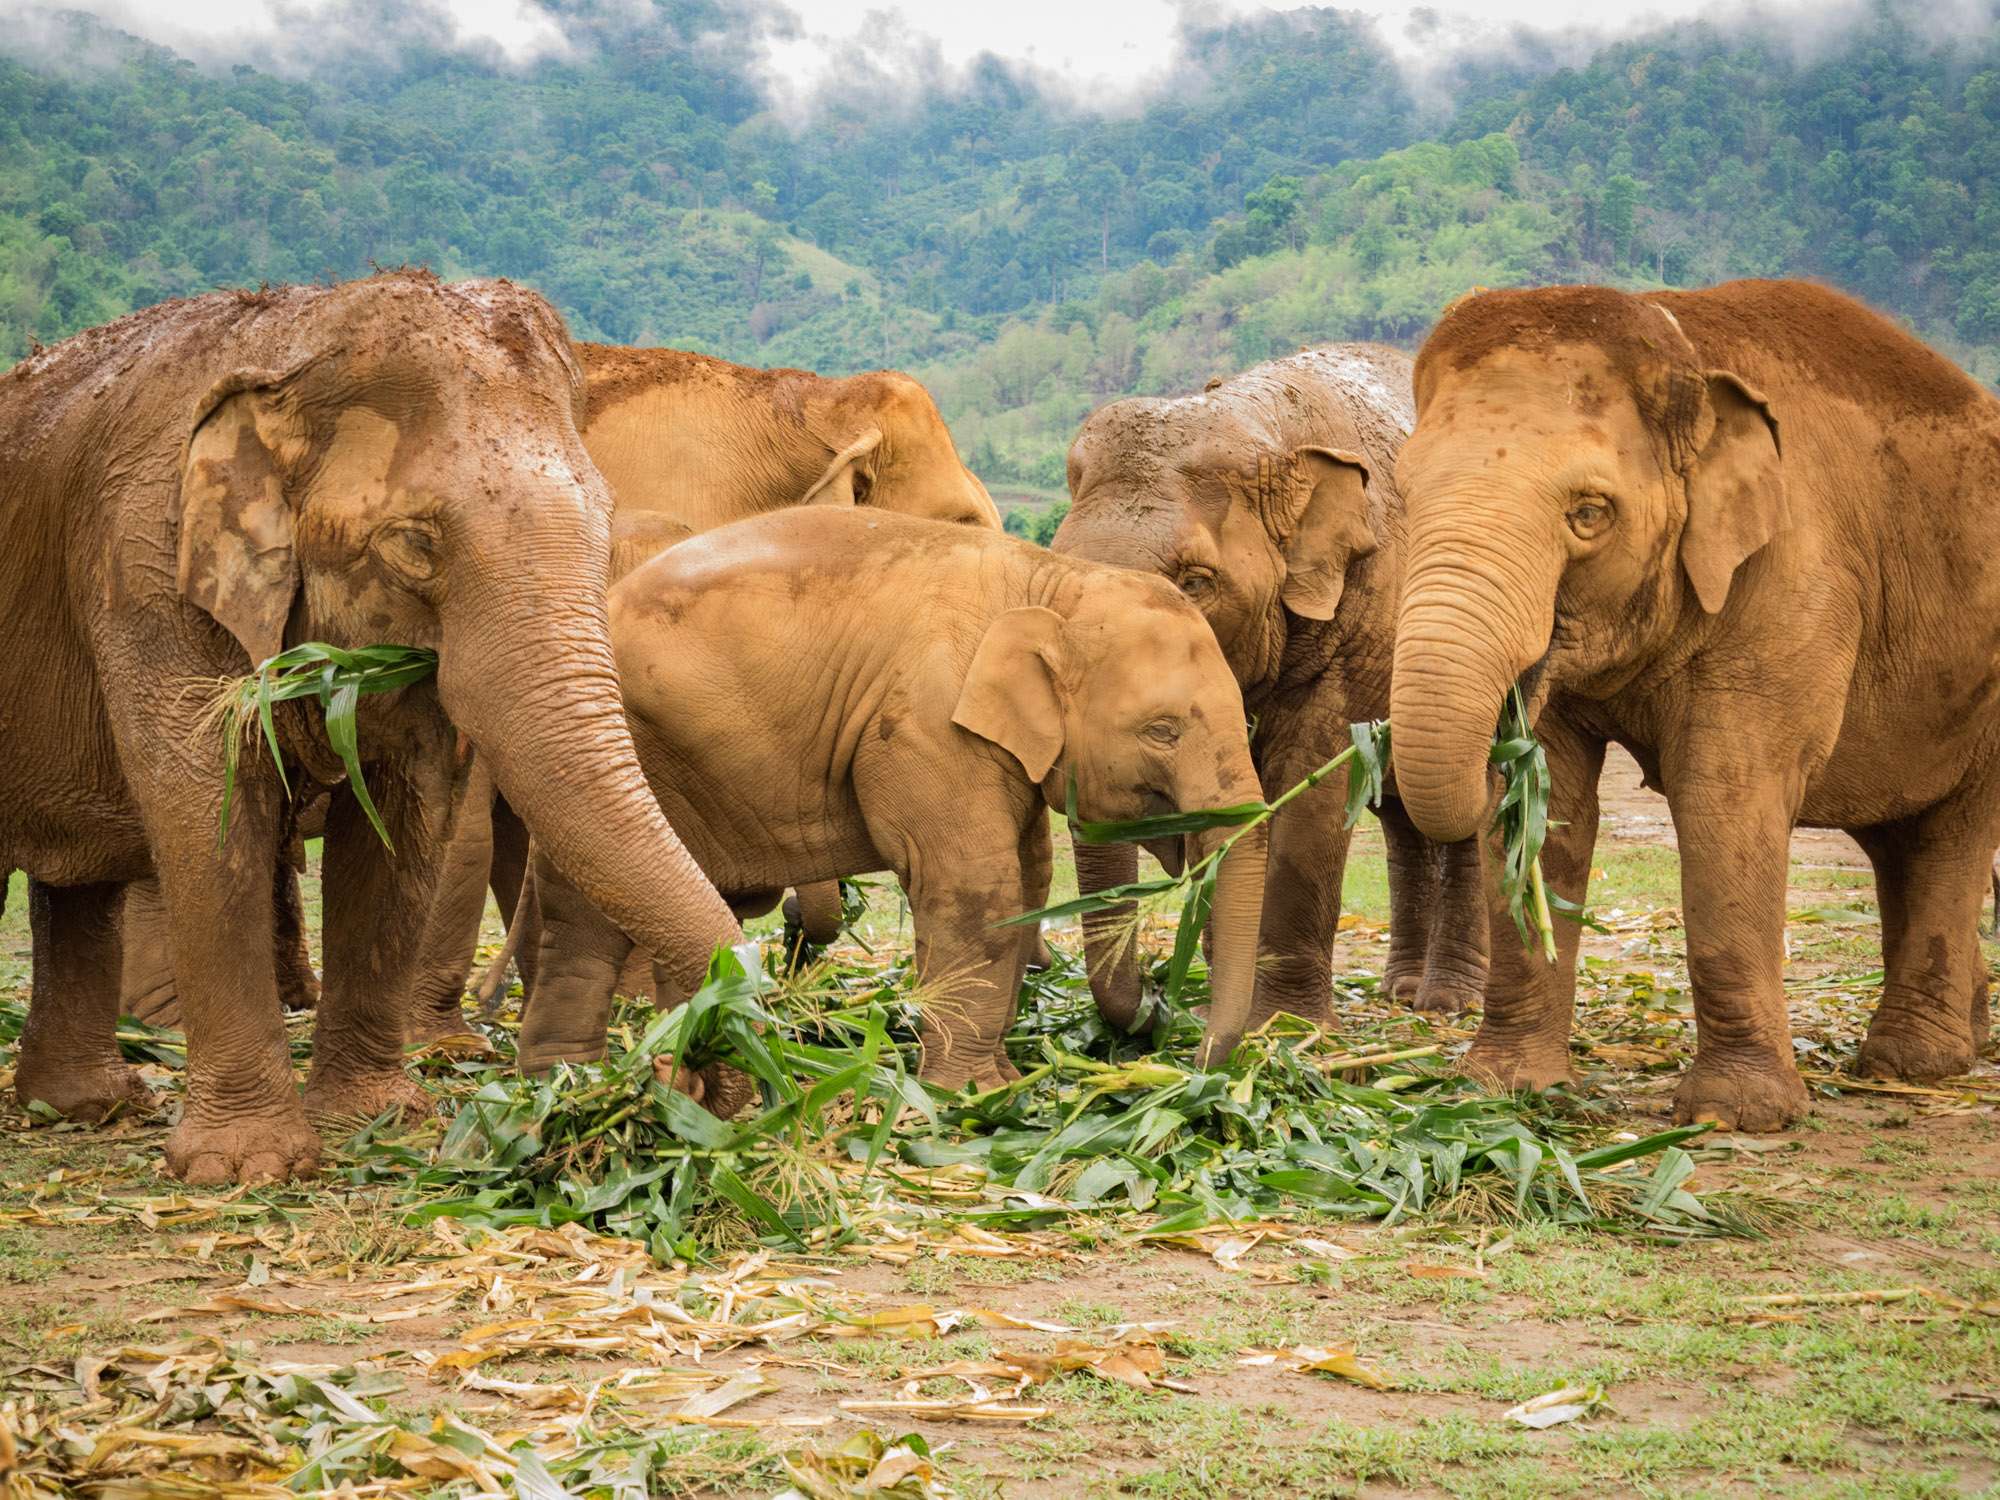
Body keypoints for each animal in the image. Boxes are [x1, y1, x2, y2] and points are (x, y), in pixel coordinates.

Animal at [0, 271, 742, 1182]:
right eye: (416, 544)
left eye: (606, 523)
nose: (686, 1070)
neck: (292, 333)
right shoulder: (142, 562)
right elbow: (208, 810)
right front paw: (246, 1167)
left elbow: (403, 818)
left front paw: (375, 1118)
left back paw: (86, 1107)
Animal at [517, 507, 1271, 1088]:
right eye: (1162, 731)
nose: (1179, 1044)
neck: (1050, 583)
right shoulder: (928, 724)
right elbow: (977, 886)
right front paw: (972, 1094)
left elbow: (1027, 880)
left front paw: (998, 1079)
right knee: (588, 917)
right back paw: (582, 1080)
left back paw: (605, 1073)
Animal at [1052, 345, 1488, 1038]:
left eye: (1196, 582)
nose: (1156, 999)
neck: (1261, 422)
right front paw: (1218, 1008)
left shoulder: (1357, 619)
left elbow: (1309, 791)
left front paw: (1285, 1027)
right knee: (1399, 813)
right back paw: (1399, 990)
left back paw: (1447, 1002)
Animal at [1387, 278, 2000, 1131]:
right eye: (1405, 495)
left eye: (1589, 513)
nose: (1501, 726)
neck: (1687, 350)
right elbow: (1559, 803)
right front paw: (1503, 1089)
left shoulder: (1793, 576)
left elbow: (1725, 796)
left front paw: (1737, 1115)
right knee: (1897, 837)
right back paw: (1960, 1040)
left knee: (1954, 830)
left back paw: (1912, 1065)